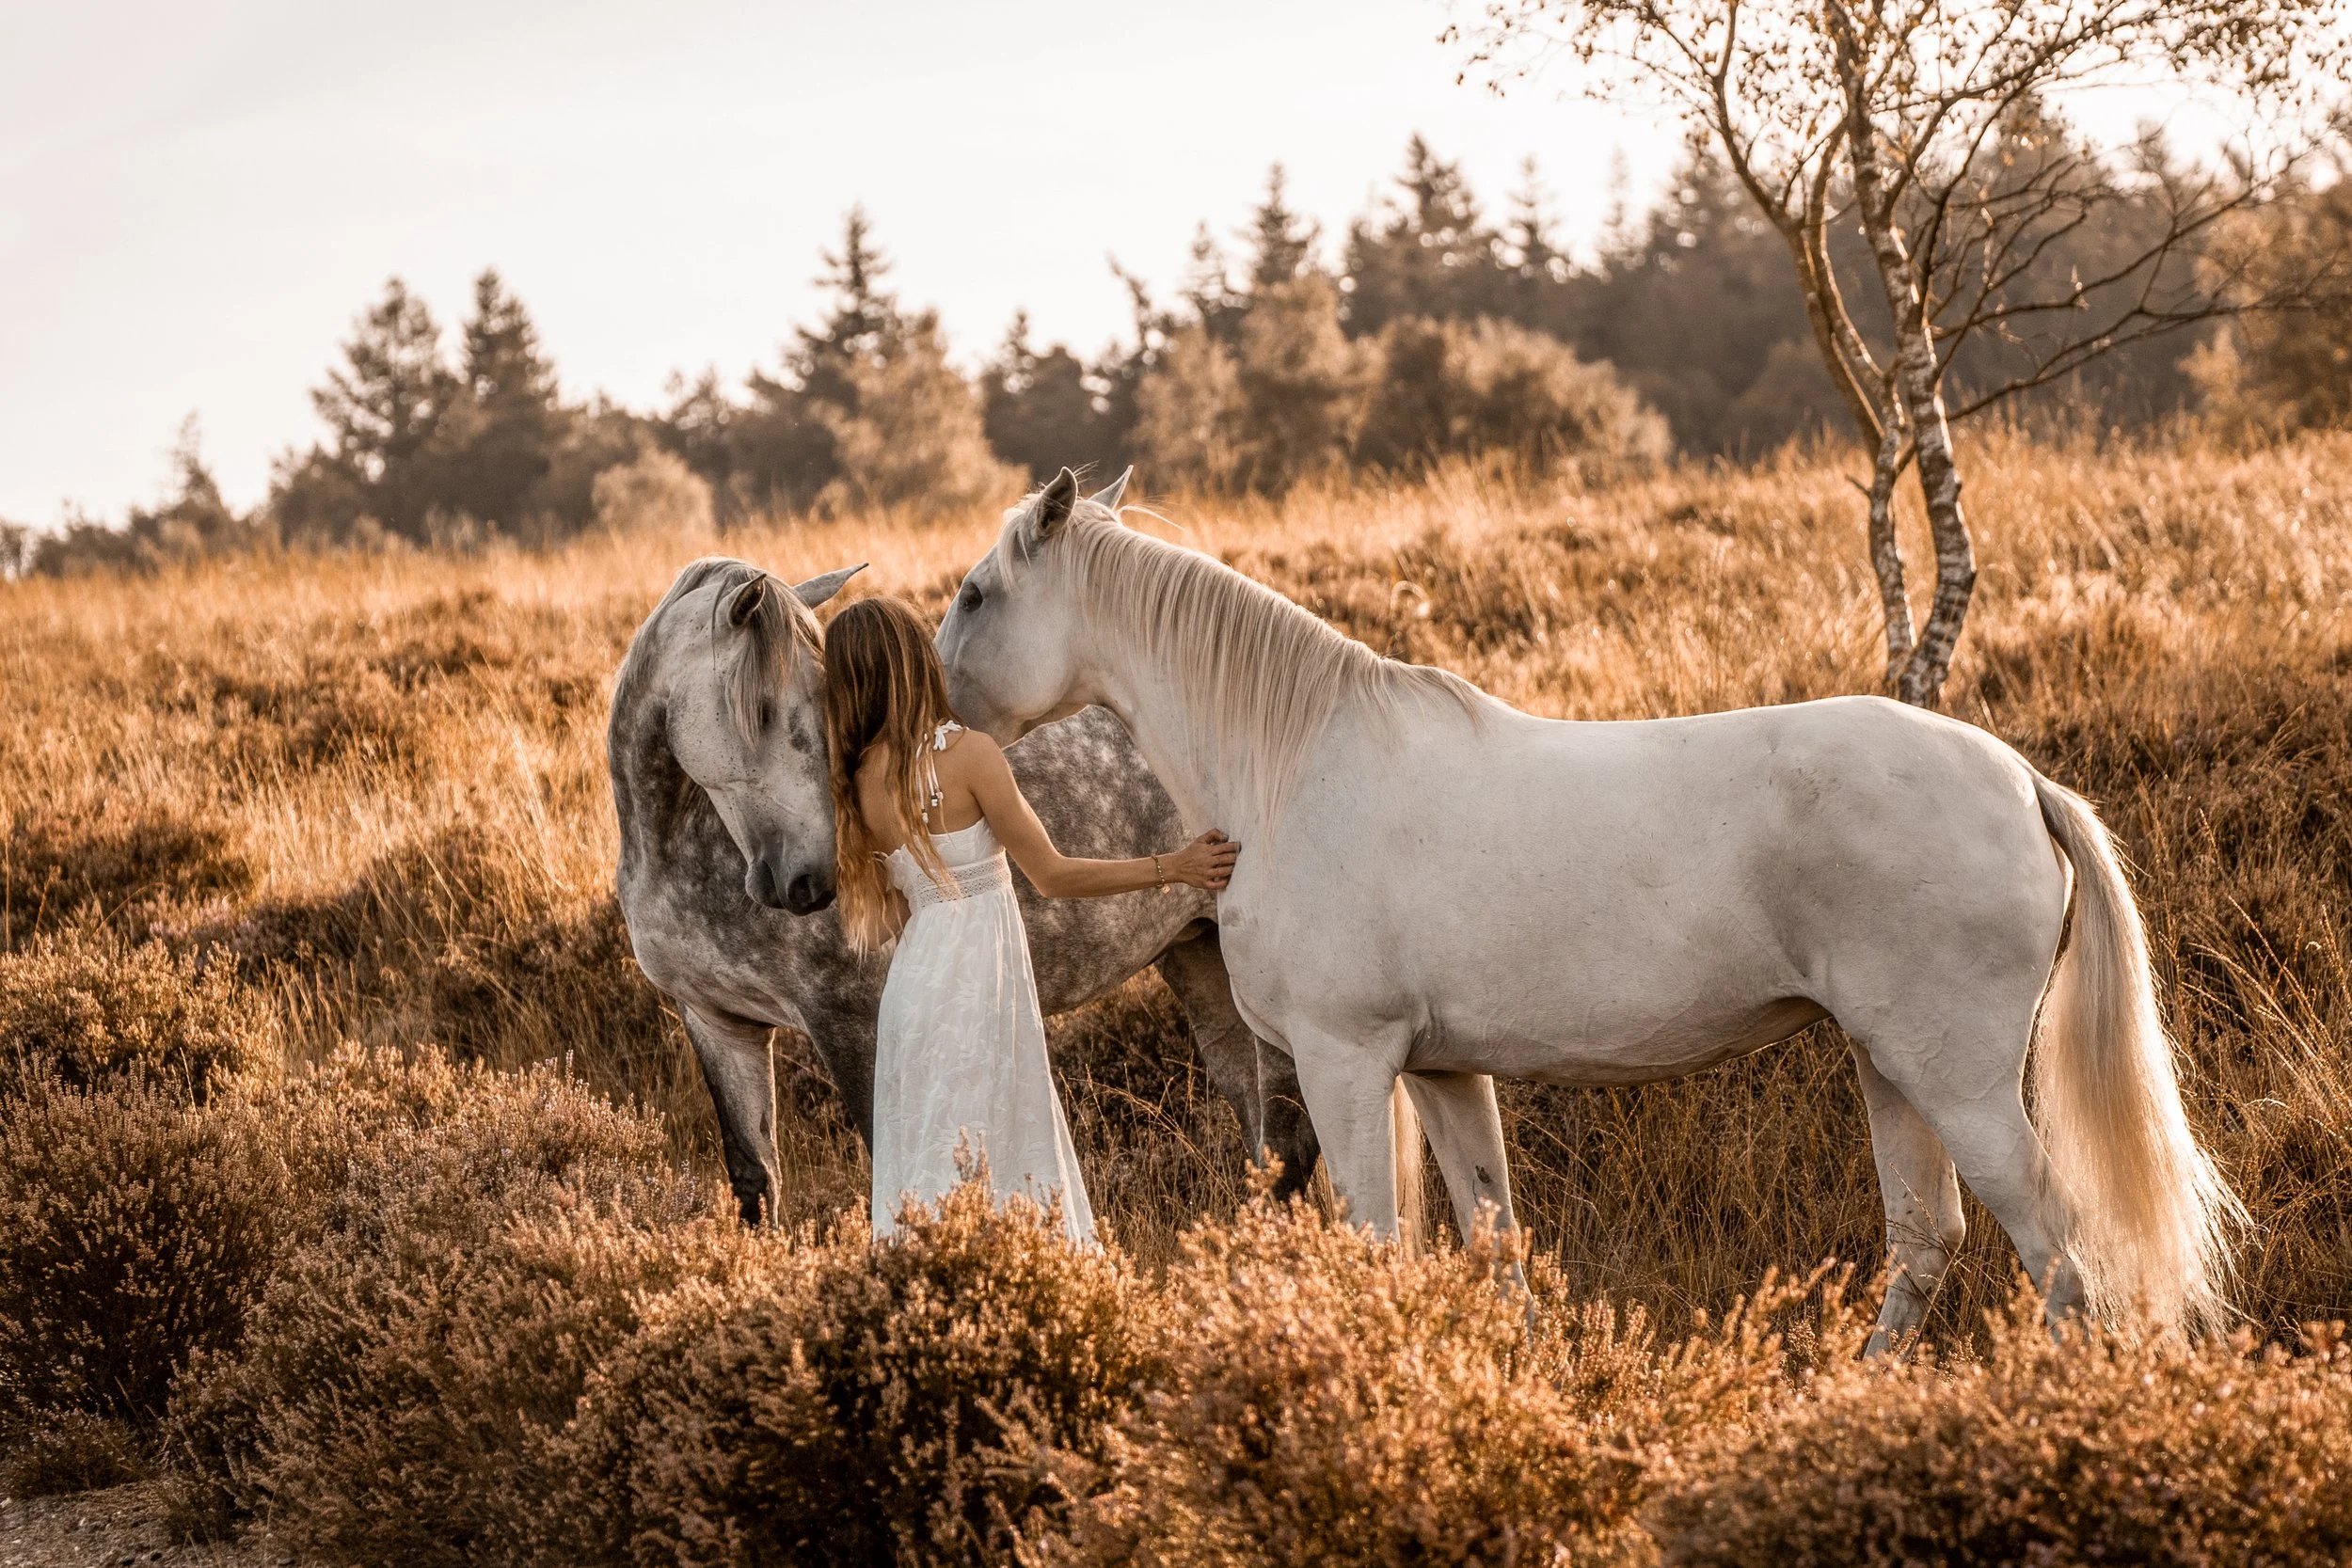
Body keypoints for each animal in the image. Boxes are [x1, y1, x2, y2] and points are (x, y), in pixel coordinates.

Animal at [935, 469, 2242, 1347]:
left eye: (975, 593)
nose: (934, 729)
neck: (1290, 763)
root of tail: (2019, 779)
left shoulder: (1344, 1060)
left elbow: (1379, 1242)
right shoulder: (1442, 1071)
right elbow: (1495, 1246)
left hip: (1957, 1077)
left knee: (2058, 1255)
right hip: (1890, 1064)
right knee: (1929, 1242)